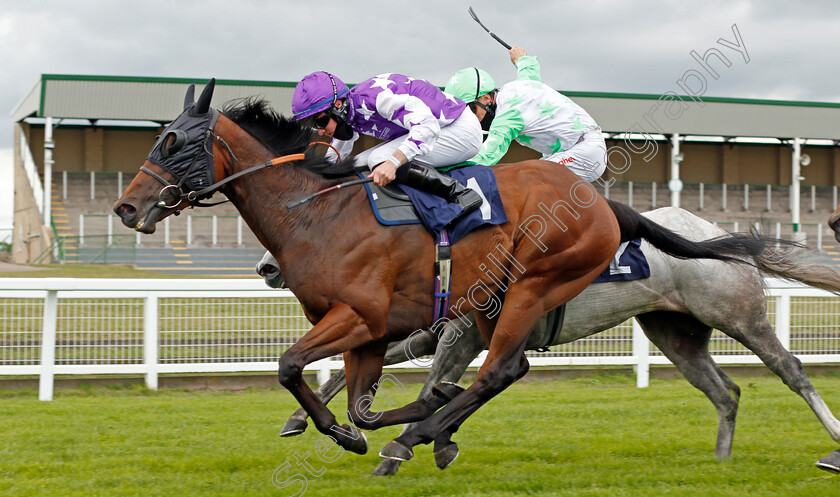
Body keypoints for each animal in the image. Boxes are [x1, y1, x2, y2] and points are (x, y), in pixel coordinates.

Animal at [111, 80, 776, 464]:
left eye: (173, 143)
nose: (126, 208)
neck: (319, 212)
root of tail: (605, 206)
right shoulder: (371, 331)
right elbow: (359, 404)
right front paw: (367, 427)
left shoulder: (361, 317)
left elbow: (290, 366)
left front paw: (387, 428)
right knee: (503, 371)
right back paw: (430, 426)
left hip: (532, 287)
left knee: (503, 369)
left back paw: (424, 433)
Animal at [256, 207, 840, 474]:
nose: (267, 267)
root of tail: (712, 234)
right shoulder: (434, 333)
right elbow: (374, 373)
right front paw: (301, 419)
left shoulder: (460, 335)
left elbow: (434, 386)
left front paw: (409, 445)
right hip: (676, 333)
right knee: (725, 391)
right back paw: (719, 461)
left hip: (740, 316)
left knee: (792, 371)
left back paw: (832, 443)